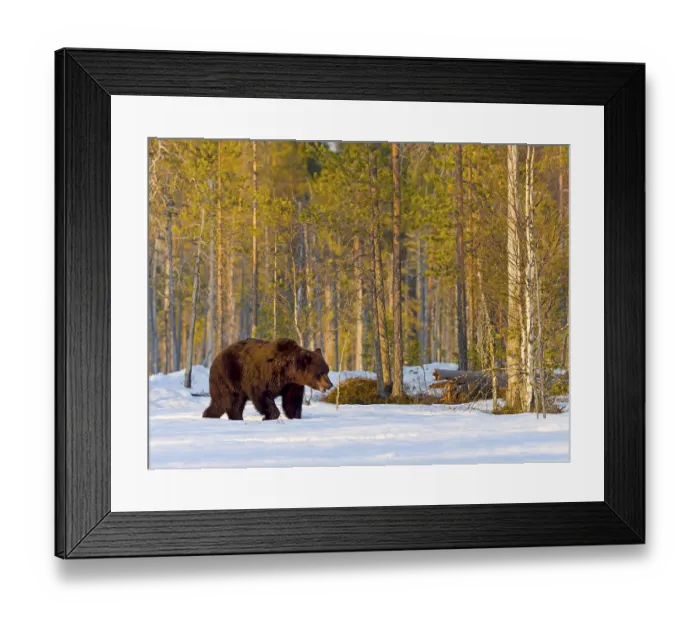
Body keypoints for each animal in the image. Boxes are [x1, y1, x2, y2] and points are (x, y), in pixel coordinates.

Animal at [202, 338, 333, 421]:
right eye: (321, 372)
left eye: (327, 370)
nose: (330, 384)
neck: (288, 371)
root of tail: (216, 357)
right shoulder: (263, 376)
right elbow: (261, 395)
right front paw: (268, 416)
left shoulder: (292, 384)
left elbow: (292, 401)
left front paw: (294, 416)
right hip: (228, 376)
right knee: (224, 401)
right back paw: (208, 415)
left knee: (234, 403)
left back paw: (235, 418)